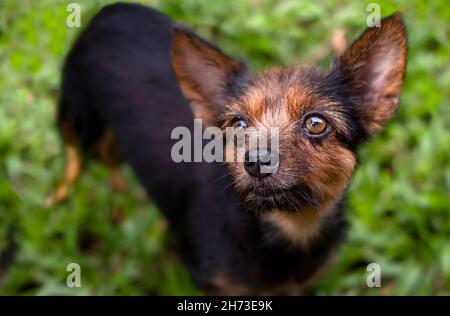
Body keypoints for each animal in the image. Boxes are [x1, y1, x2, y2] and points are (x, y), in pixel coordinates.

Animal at [48, 2, 408, 296]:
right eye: (238, 125)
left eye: (317, 123)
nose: (257, 162)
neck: (290, 228)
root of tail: (109, 11)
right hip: (79, 112)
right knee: (77, 150)